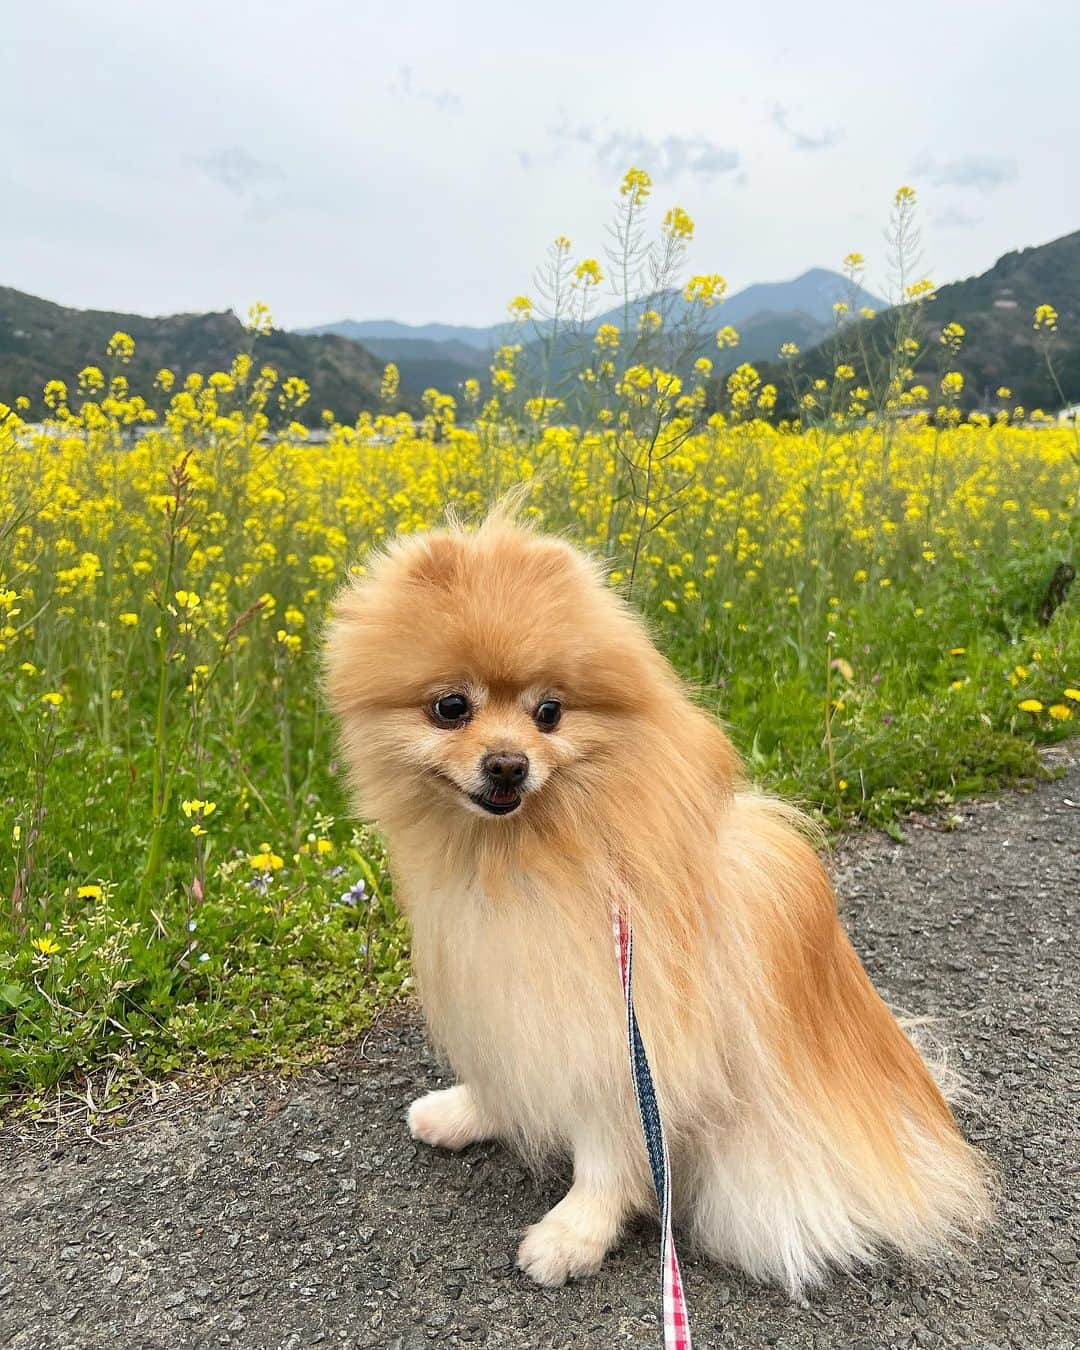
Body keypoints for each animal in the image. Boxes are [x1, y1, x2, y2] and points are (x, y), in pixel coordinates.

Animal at [325, 510, 993, 1290]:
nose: (508, 764)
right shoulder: (501, 987)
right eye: (451, 708)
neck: (527, 858)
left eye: (549, 712)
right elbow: (504, 1072)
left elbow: (608, 1148)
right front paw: (470, 1112)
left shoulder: (621, 1026)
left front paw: (575, 1233)